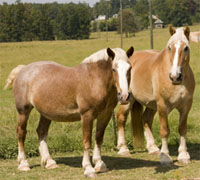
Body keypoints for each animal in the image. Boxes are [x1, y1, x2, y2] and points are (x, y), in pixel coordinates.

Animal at [4, 46, 134, 177]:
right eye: (113, 69)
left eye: (130, 68)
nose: (124, 96)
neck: (94, 79)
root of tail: (23, 69)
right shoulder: (87, 115)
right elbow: (87, 142)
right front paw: (88, 169)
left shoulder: (105, 115)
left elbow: (98, 139)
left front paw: (100, 164)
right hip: (23, 111)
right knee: (21, 133)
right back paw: (23, 164)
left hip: (46, 113)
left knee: (41, 131)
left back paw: (49, 162)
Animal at [117, 26, 195, 165]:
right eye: (170, 48)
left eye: (186, 48)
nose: (175, 76)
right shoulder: (162, 105)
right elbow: (165, 130)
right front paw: (165, 157)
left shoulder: (186, 106)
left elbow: (182, 129)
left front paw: (183, 156)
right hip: (127, 100)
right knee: (121, 118)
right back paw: (123, 149)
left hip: (151, 105)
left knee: (146, 119)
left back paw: (153, 148)